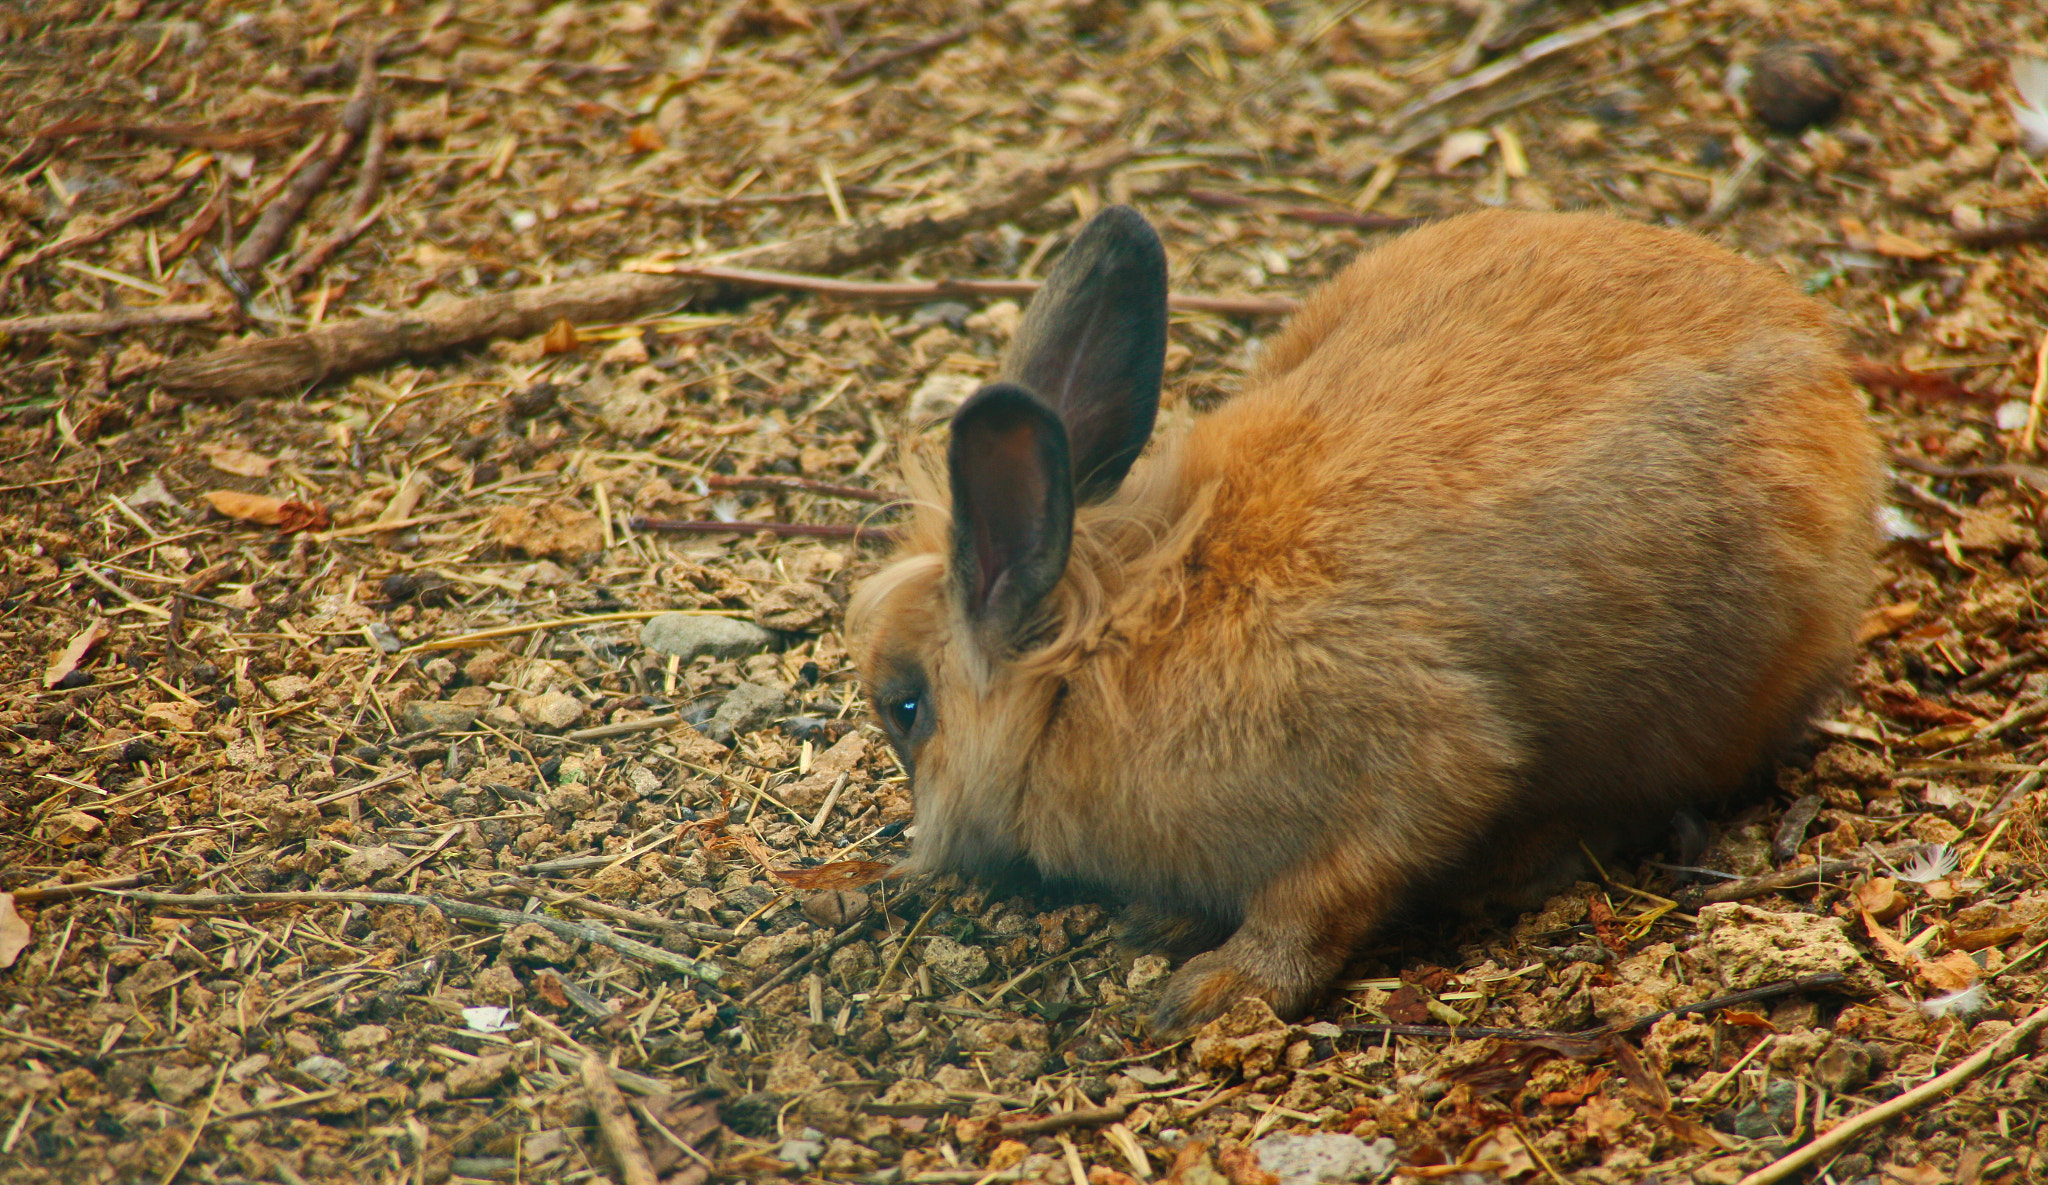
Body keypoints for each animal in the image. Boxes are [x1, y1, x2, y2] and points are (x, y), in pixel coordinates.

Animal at [839, 203, 1875, 1039]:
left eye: (906, 710)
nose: (917, 853)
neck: (1099, 652)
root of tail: (1829, 378)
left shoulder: (1416, 766)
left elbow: (1322, 894)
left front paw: (1216, 990)